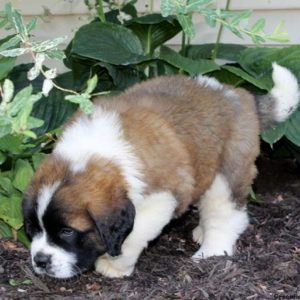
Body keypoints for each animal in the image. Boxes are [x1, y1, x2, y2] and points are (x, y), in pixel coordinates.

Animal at [22, 63, 298, 278]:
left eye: (67, 232)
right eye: (33, 229)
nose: (41, 261)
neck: (91, 154)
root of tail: (238, 93)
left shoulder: (161, 198)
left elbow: (133, 235)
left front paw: (113, 266)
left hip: (229, 167)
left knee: (226, 212)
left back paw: (213, 249)